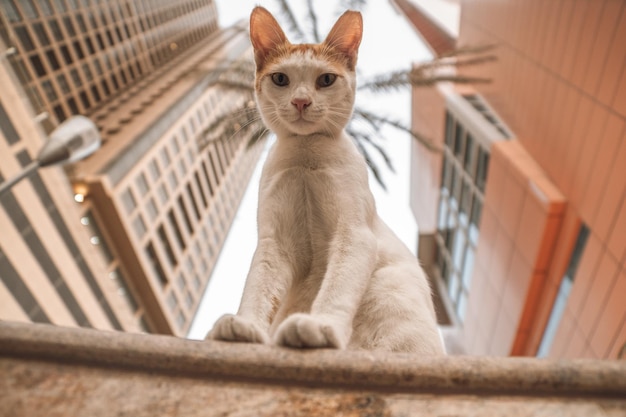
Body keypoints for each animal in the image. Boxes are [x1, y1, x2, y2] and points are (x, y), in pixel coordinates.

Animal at [207, 4, 442, 352]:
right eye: (280, 79)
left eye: (326, 79)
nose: (301, 101)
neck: (307, 156)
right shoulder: (274, 245)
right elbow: (258, 290)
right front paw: (245, 327)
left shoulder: (354, 234)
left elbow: (336, 289)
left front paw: (319, 326)